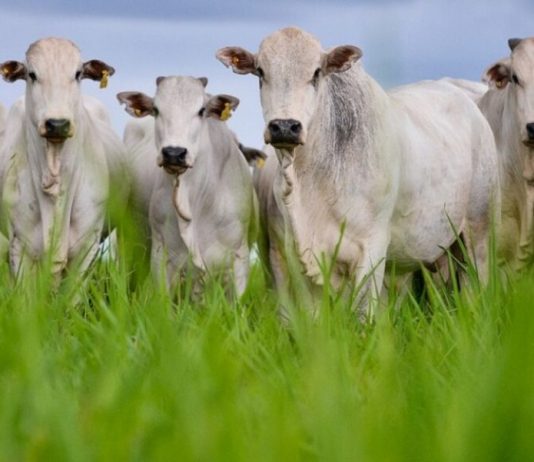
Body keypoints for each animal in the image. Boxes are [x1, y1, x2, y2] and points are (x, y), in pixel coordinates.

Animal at [217, 27, 499, 318]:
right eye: (261, 72)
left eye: (316, 72)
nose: (284, 127)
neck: (311, 182)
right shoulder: (292, 254)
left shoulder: (372, 248)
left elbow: (365, 314)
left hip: (478, 231)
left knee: (475, 289)